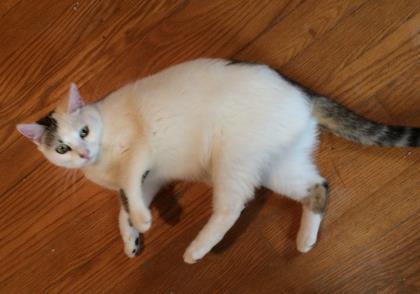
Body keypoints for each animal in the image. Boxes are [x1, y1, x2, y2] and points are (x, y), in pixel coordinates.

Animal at [16, 58, 420, 262]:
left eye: (84, 132)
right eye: (62, 149)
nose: (83, 152)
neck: (102, 161)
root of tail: (303, 94)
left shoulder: (139, 156)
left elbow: (129, 187)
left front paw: (142, 221)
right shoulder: (152, 179)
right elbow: (123, 205)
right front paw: (130, 236)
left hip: (232, 157)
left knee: (232, 206)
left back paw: (197, 249)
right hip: (277, 165)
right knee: (318, 187)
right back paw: (305, 238)